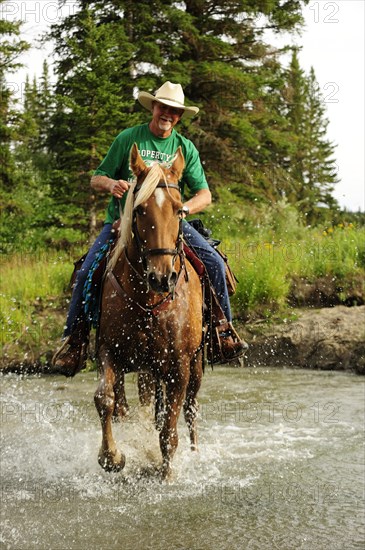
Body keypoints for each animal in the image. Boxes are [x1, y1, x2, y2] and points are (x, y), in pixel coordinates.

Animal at [92, 142, 203, 478]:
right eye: (140, 210)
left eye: (179, 210)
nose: (162, 277)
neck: (149, 301)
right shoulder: (108, 350)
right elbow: (106, 399)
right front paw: (112, 457)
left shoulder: (179, 365)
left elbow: (169, 430)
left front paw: (166, 475)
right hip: (147, 370)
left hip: (196, 365)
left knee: (191, 410)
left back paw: (196, 454)